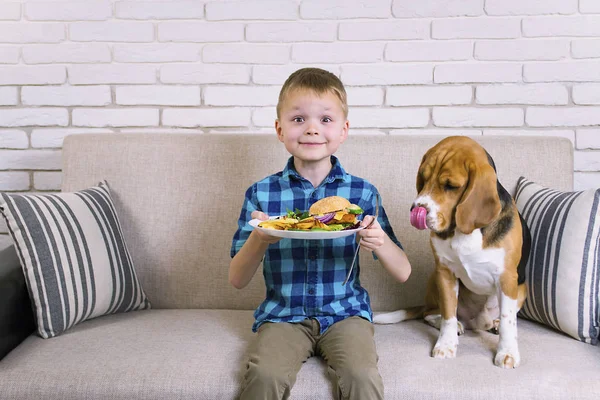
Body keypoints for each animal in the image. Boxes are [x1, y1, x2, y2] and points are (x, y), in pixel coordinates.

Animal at [376, 135, 528, 368]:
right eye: (423, 178)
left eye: (450, 186)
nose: (416, 209)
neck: (465, 231)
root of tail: (477, 322)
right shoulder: (445, 273)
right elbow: (448, 315)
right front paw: (446, 345)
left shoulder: (508, 278)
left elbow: (508, 322)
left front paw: (507, 352)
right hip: (434, 277)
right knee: (429, 313)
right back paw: (454, 324)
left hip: (522, 289)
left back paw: (493, 323)